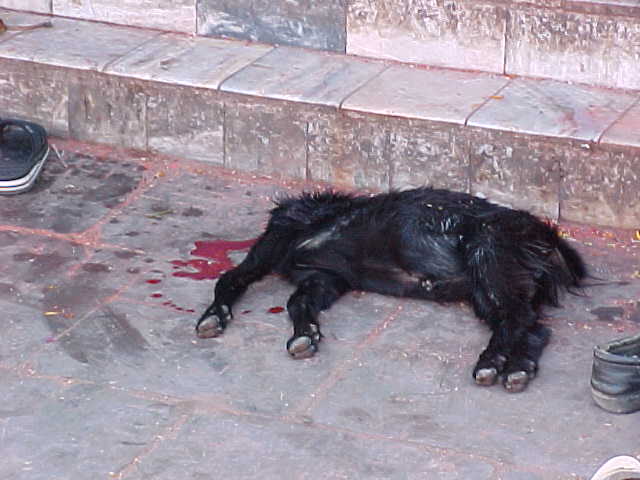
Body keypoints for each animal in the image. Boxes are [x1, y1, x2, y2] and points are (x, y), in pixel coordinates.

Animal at [198, 186, 588, 392]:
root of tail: (550, 242)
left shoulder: (281, 247)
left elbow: (230, 278)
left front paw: (214, 316)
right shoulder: (324, 279)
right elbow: (296, 302)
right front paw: (306, 334)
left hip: (489, 258)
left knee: (517, 319)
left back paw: (491, 362)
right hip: (493, 288)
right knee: (532, 327)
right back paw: (519, 368)